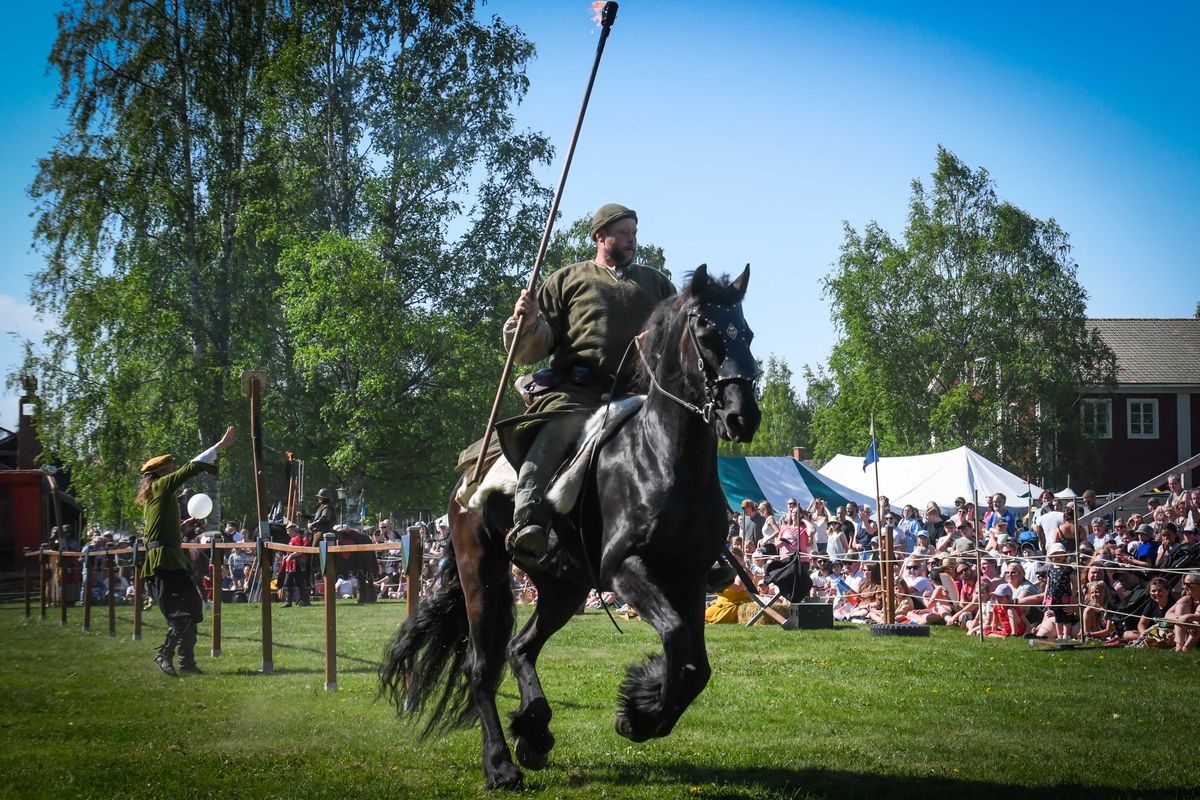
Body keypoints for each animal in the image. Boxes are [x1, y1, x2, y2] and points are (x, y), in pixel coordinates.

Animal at [381, 267, 758, 786]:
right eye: (707, 333)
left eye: (748, 335)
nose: (742, 416)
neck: (663, 458)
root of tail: (467, 480)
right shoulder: (626, 569)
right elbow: (677, 638)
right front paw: (638, 715)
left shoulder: (689, 577)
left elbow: (695, 665)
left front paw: (641, 709)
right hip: (482, 573)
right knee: (483, 667)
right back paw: (500, 764)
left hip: (563, 587)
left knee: (520, 648)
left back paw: (534, 731)